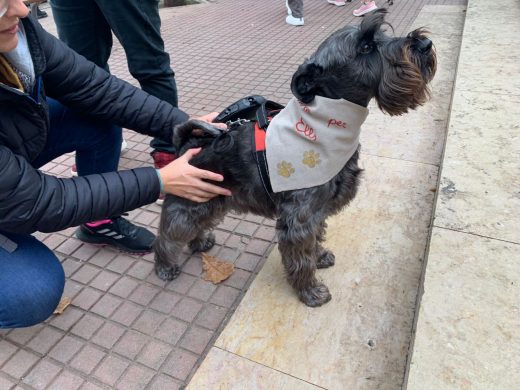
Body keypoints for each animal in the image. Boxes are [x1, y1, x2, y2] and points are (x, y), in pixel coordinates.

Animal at [153, 9, 434, 308]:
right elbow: (301, 257)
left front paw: (319, 257)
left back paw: (199, 243)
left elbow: (316, 239)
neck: (324, 126)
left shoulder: (317, 211)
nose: (425, 44)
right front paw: (310, 291)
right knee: (168, 234)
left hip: (210, 200)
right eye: (366, 47)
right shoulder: (299, 218)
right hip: (189, 203)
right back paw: (165, 266)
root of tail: (188, 143)